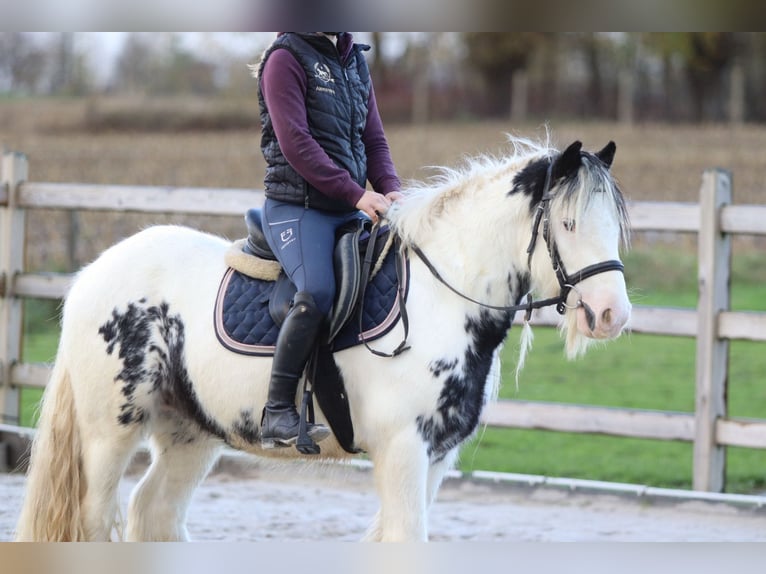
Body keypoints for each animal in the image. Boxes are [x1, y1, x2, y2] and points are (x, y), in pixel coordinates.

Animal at [15, 137, 631, 542]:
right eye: (569, 224)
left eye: (614, 224)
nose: (611, 315)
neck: (441, 296)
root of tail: (93, 274)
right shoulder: (403, 451)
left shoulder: (437, 458)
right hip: (109, 432)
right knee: (97, 521)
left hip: (191, 432)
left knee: (155, 514)